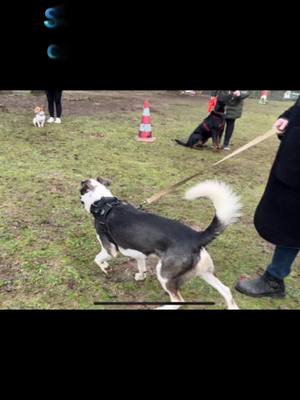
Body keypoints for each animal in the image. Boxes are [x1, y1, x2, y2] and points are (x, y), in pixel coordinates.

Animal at [81, 176, 243, 310]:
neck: (104, 203)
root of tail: (197, 236)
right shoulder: (139, 254)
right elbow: (141, 267)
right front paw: (141, 276)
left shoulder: (110, 249)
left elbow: (97, 259)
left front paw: (105, 268)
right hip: (205, 272)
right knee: (226, 291)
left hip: (165, 274)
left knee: (178, 301)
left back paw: (161, 308)